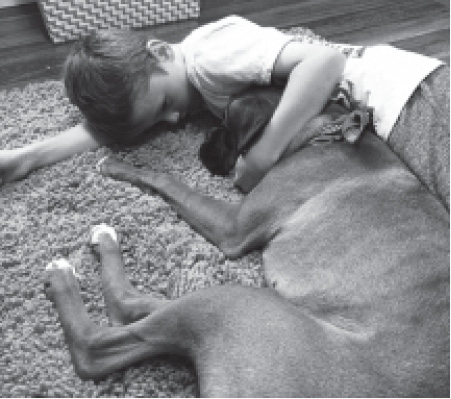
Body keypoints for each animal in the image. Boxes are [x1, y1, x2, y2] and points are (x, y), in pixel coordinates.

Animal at [44, 108, 450, 396]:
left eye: (233, 122)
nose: (202, 139)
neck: (334, 139)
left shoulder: (233, 225)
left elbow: (168, 179)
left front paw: (118, 163)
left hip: (235, 306)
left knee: (98, 342)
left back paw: (74, 267)